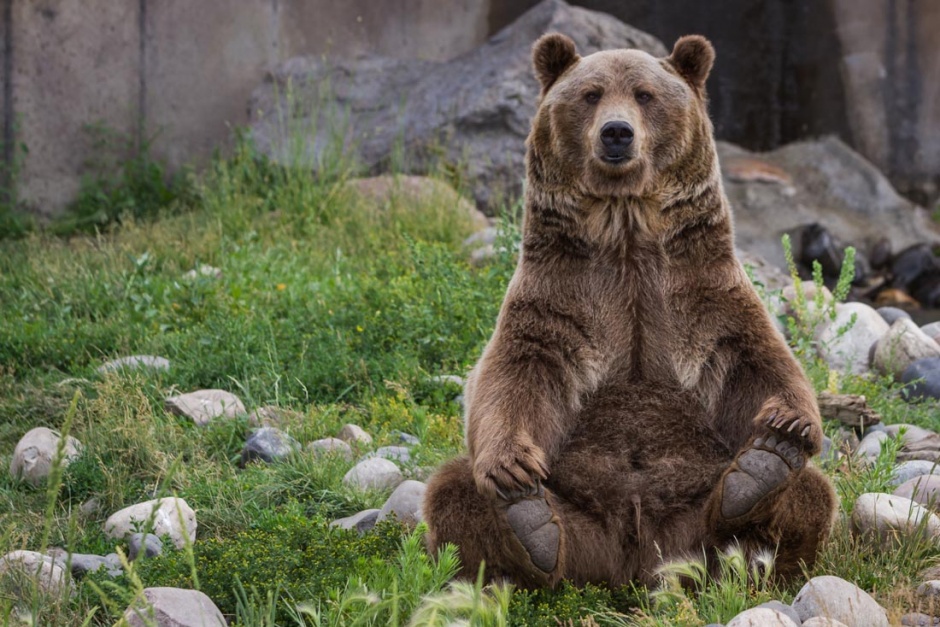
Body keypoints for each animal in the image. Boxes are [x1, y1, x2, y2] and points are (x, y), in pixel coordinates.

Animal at [422, 30, 832, 588]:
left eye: (645, 94)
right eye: (590, 94)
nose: (617, 132)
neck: (627, 230)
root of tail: (634, 559)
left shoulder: (701, 292)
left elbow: (757, 361)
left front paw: (788, 427)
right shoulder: (561, 296)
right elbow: (515, 374)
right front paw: (510, 467)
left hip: (693, 515)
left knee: (810, 493)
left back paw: (759, 475)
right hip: (579, 517)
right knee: (453, 491)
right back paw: (531, 527)